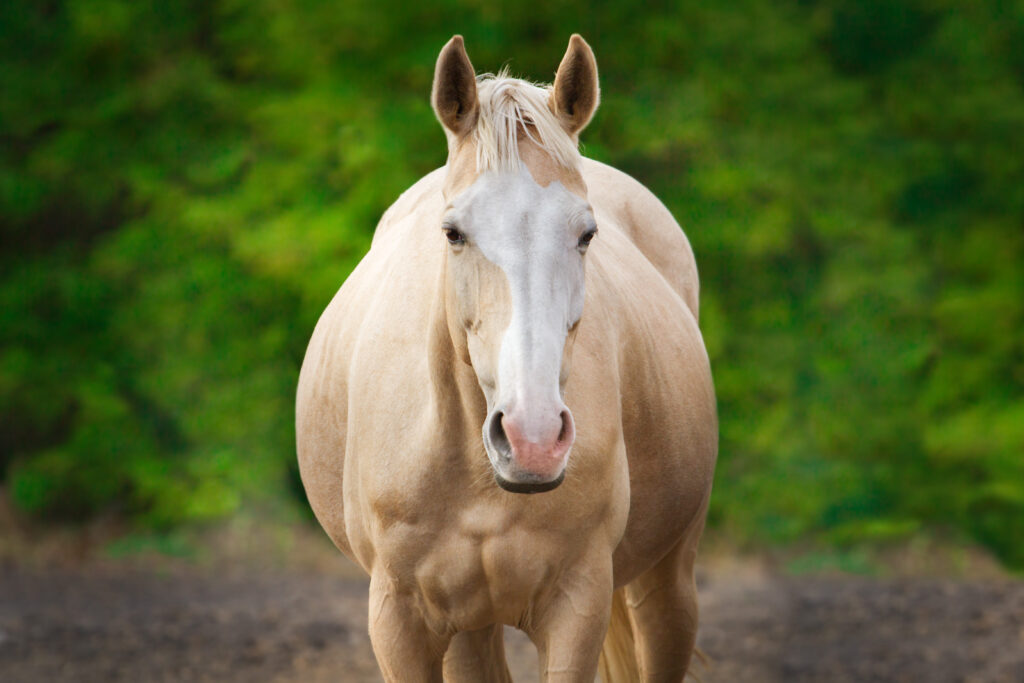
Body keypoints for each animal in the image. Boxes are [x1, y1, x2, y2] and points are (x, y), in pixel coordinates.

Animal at [296, 34, 717, 682]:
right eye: (453, 232)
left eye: (586, 234)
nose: (532, 439)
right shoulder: (398, 619)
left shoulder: (578, 607)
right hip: (470, 624)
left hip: (666, 579)